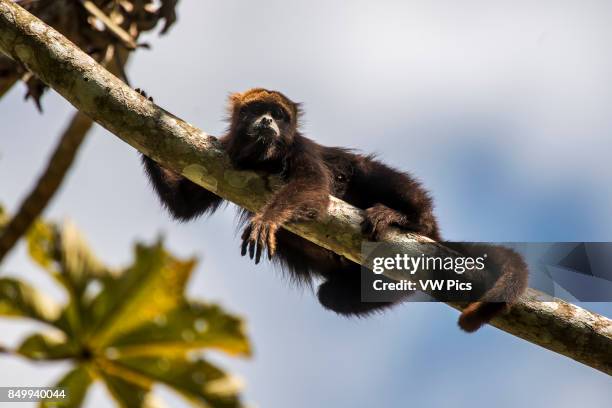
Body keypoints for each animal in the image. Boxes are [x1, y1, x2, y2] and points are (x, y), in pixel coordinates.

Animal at [141, 87, 528, 330]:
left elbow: (315, 190)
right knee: (331, 297)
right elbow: (185, 205)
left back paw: (406, 218)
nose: (266, 122)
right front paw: (145, 117)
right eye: (255, 111)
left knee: (368, 170)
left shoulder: (299, 148)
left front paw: (268, 218)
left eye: (278, 115)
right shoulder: (223, 150)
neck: (263, 158)